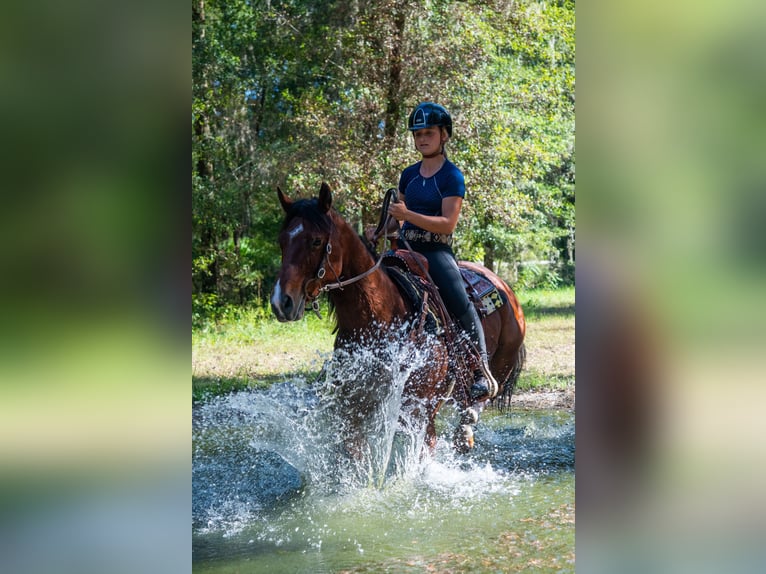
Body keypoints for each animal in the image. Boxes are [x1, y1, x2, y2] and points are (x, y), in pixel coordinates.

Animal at [270, 182, 526, 456]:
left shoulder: (419, 411)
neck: (381, 321)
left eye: (316, 241)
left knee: (478, 401)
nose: (281, 302)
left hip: (500, 365)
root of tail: (504, 287)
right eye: (281, 241)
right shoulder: (354, 410)